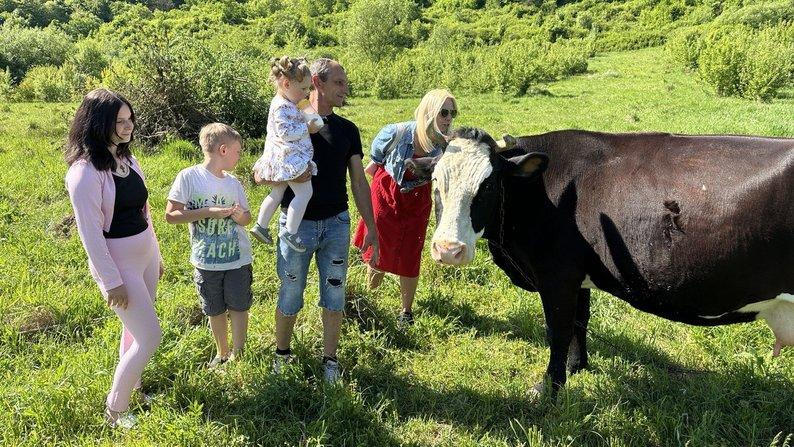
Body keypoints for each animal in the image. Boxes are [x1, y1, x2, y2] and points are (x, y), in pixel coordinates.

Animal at [408, 128, 792, 398]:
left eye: (488, 185)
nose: (448, 249)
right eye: (435, 182)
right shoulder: (577, 274)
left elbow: (558, 330)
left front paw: (548, 388)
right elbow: (580, 321)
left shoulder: (556, 275)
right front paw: (577, 367)